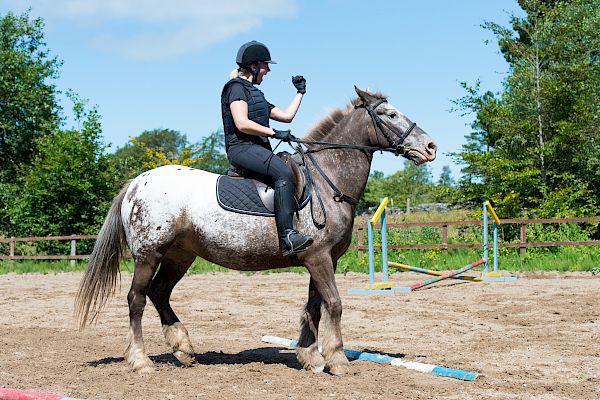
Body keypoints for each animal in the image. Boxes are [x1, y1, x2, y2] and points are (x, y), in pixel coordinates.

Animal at [74, 85, 436, 376]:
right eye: (390, 114)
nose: (431, 147)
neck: (326, 181)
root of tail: (136, 183)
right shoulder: (318, 258)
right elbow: (333, 304)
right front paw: (337, 360)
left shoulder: (322, 259)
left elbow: (314, 307)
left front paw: (310, 356)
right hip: (149, 254)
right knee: (136, 299)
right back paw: (140, 360)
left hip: (181, 255)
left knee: (160, 293)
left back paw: (183, 349)